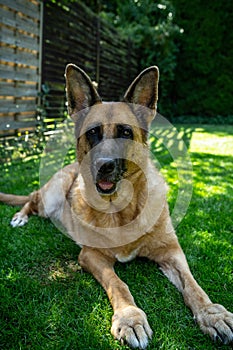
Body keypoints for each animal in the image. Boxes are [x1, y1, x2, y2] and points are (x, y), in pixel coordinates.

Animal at [0, 65, 233, 348]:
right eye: (92, 133)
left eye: (125, 132)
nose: (104, 165)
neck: (122, 209)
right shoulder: (90, 255)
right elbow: (118, 284)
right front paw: (129, 318)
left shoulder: (172, 252)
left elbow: (193, 286)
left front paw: (212, 314)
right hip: (51, 196)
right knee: (31, 199)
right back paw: (20, 217)